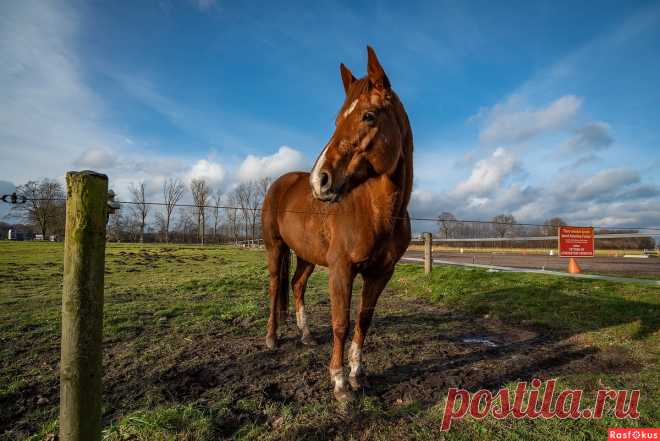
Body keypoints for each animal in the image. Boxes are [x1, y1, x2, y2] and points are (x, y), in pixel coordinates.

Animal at [262, 46, 412, 400]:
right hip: (276, 249)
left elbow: (363, 321)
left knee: (296, 285)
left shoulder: (381, 273)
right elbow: (341, 323)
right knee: (275, 288)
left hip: (306, 256)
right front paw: (340, 382)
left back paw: (305, 335)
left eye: (368, 116)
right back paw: (272, 338)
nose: (320, 181)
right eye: (337, 120)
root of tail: (280, 183)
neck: (376, 212)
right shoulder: (341, 270)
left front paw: (358, 375)